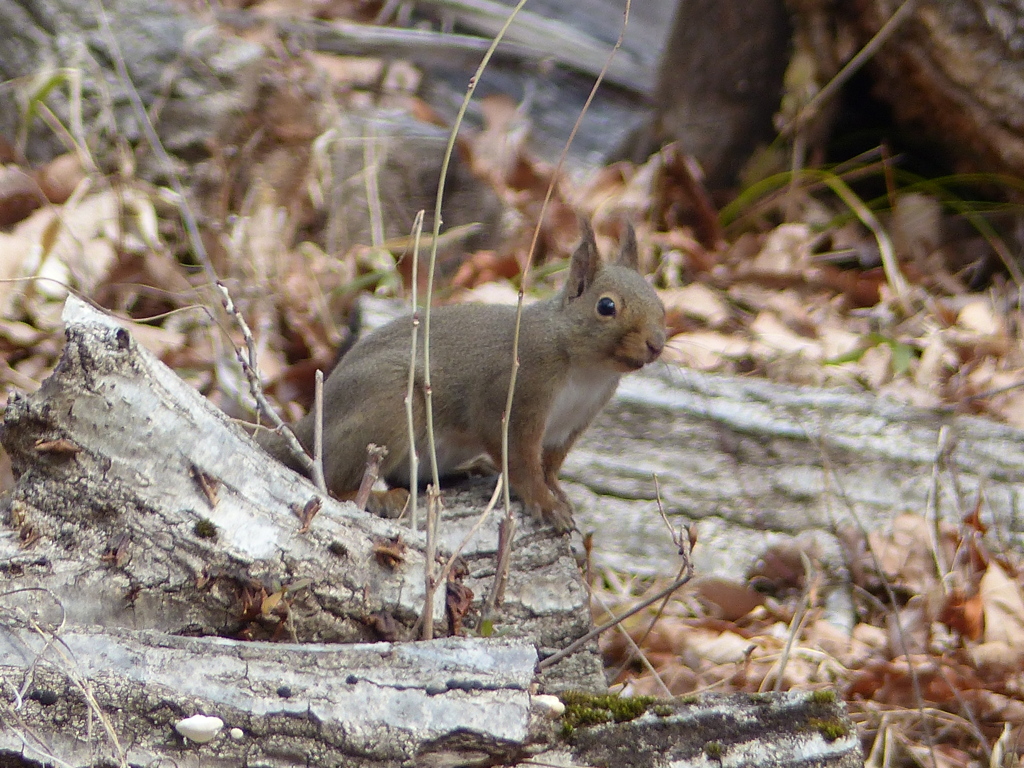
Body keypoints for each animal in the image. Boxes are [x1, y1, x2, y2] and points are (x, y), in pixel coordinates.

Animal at [260, 219, 667, 532]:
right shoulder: (513, 397)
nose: (656, 344)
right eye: (606, 306)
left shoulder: (572, 424)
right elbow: (520, 462)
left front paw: (559, 495)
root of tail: (312, 422)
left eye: (660, 303)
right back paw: (376, 497)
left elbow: (550, 468)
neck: (587, 371)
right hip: (388, 405)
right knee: (331, 479)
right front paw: (545, 503)